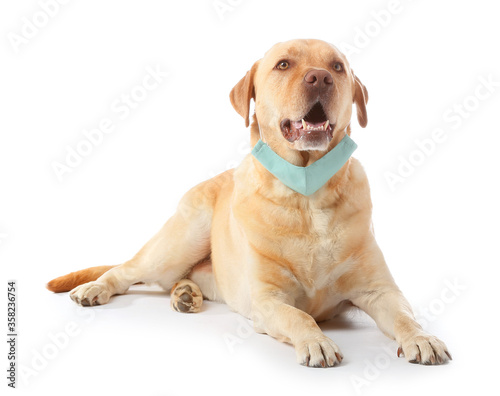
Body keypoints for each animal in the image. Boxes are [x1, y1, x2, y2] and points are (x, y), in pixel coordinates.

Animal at [47, 38, 454, 366]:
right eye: (284, 64)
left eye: (337, 67)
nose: (320, 78)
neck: (308, 198)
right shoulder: (268, 300)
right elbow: (299, 316)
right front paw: (316, 341)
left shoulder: (380, 290)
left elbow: (404, 316)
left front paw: (422, 338)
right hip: (177, 243)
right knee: (126, 270)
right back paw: (96, 288)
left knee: (176, 280)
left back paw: (185, 294)